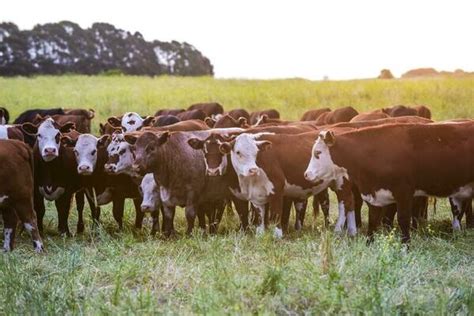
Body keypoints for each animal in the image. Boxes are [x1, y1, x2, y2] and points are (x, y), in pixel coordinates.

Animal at [306, 121, 474, 244]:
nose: (307, 175)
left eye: (318, 153)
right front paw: (369, 244)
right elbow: (373, 221)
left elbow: (403, 220)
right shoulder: (374, 195)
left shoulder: (404, 193)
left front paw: (406, 246)